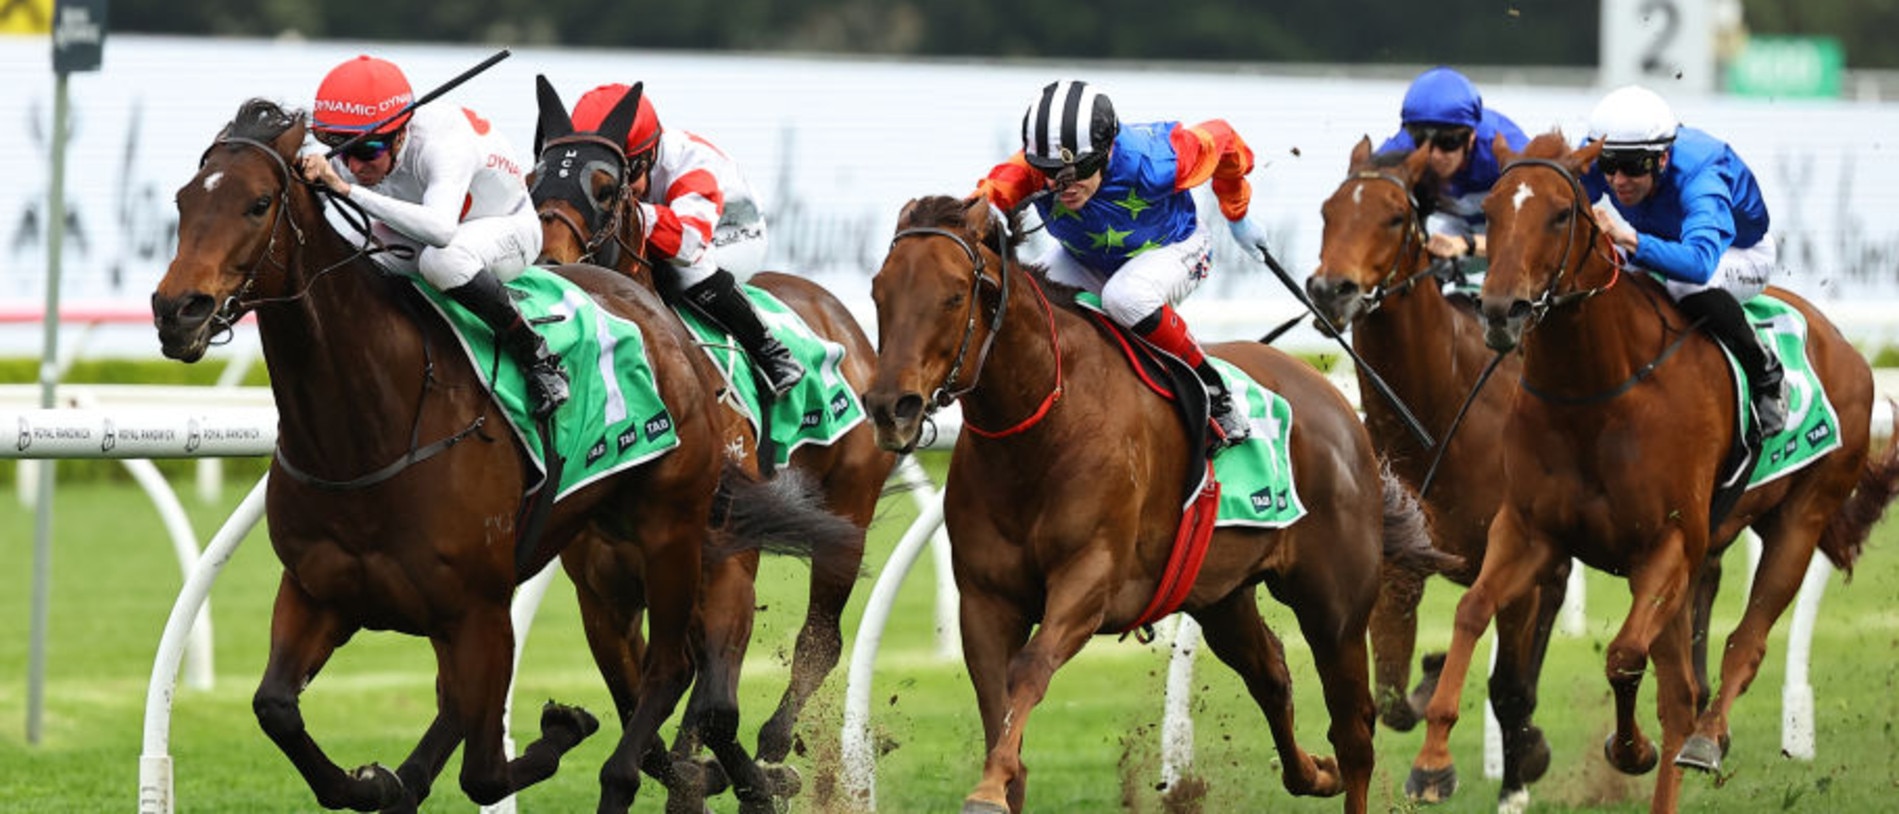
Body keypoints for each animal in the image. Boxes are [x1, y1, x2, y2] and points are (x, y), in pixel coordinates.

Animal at [155, 98, 854, 808]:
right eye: (184, 199)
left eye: (258, 203)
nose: (176, 309)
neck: (367, 433)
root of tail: (663, 321)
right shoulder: (316, 591)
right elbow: (277, 708)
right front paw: (372, 781)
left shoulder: (480, 611)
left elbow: (485, 770)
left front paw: (564, 729)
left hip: (677, 531)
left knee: (685, 667)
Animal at [527, 77, 896, 812]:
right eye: (532, 183)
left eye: (605, 187)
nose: (552, 267)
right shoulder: (603, 594)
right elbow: (646, 710)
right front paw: (696, 775)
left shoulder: (725, 566)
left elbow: (715, 708)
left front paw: (755, 778)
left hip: (846, 516)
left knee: (819, 641)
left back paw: (778, 741)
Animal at [862, 195, 1450, 812]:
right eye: (880, 291)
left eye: (954, 294)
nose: (890, 408)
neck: (1043, 425)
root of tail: (1333, 401)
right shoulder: (985, 597)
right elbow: (998, 705)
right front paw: (1001, 779)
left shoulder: (1091, 578)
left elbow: (1030, 670)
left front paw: (988, 786)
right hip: (1220, 594)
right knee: (1271, 674)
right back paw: (1315, 772)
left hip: (1334, 605)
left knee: (1354, 730)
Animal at [1405, 129, 1899, 808]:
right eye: (1495, 211)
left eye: (1561, 213)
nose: (1502, 311)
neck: (1596, 394)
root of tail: (1845, 346)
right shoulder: (1531, 530)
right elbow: (1472, 611)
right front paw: (1432, 761)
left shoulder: (1667, 544)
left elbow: (1623, 655)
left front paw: (1630, 749)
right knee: (1682, 691)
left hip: (1799, 520)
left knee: (1742, 647)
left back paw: (1708, 740)